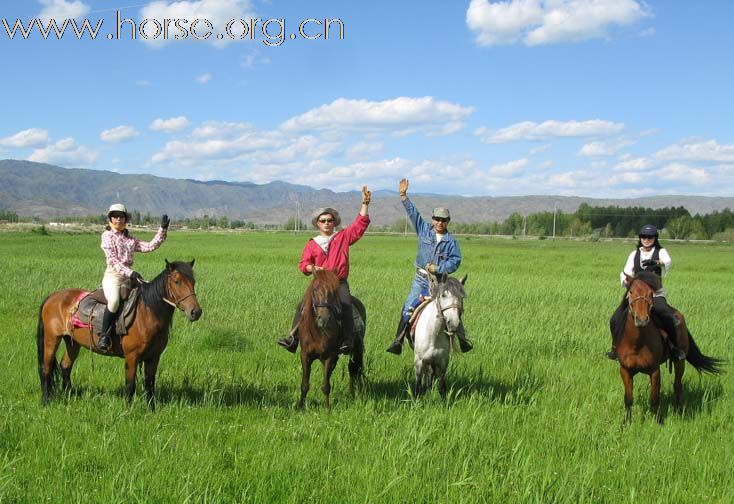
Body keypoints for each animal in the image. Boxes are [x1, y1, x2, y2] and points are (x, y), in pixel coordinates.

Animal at [37, 260, 201, 410]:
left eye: (193, 281)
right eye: (177, 281)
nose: (196, 312)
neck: (146, 313)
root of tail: (52, 297)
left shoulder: (154, 357)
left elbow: (150, 384)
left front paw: (151, 409)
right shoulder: (132, 356)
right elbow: (130, 385)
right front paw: (127, 410)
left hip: (72, 342)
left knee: (65, 366)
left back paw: (70, 395)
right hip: (52, 340)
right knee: (46, 368)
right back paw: (46, 401)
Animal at [298, 270, 366, 408]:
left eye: (333, 292)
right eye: (314, 290)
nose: (324, 319)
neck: (317, 332)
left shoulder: (329, 356)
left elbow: (325, 386)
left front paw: (326, 408)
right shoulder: (305, 355)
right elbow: (304, 384)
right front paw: (301, 406)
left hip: (356, 349)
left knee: (353, 369)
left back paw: (352, 394)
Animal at [616, 272, 724, 422]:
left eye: (651, 293)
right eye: (631, 292)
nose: (642, 320)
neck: (637, 343)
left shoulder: (654, 370)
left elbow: (654, 398)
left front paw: (658, 421)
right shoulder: (625, 370)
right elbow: (628, 398)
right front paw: (626, 422)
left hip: (680, 362)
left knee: (677, 385)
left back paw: (679, 410)